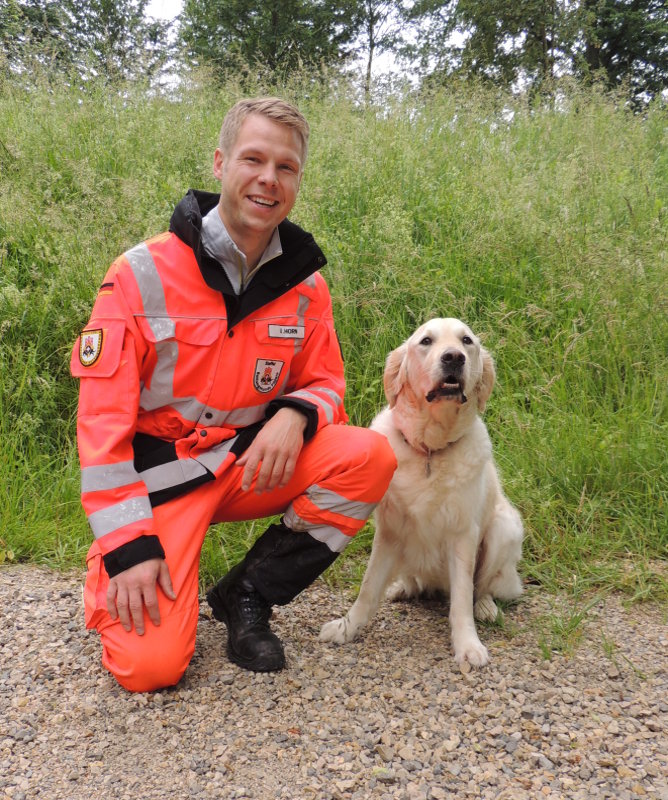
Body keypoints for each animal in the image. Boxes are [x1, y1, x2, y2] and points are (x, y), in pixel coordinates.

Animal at [320, 316, 524, 664]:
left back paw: (485, 607)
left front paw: (468, 645)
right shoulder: (388, 531)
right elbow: (368, 589)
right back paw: (403, 588)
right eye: (426, 341)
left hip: (504, 529)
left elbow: (461, 600)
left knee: (480, 588)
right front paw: (347, 627)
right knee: (413, 581)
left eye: (467, 341)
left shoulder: (463, 535)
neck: (430, 449)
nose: (454, 357)